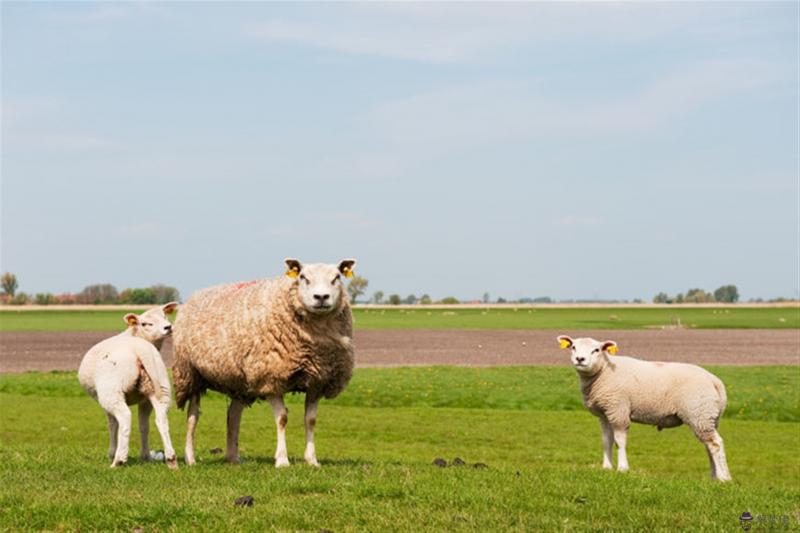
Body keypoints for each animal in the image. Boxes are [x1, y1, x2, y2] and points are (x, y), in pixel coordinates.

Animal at [77, 302, 178, 468]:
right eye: (145, 323)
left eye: (165, 316)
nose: (168, 327)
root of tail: (141, 349)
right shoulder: (144, 400)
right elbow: (143, 426)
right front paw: (145, 457)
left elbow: (112, 425)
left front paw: (111, 453)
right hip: (159, 388)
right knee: (161, 419)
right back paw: (169, 459)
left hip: (111, 392)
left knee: (124, 418)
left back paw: (118, 459)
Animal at [174, 258, 356, 466]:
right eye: (303, 277)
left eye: (337, 277)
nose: (321, 297)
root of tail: (194, 296)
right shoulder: (270, 378)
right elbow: (282, 419)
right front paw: (282, 460)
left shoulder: (318, 381)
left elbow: (310, 420)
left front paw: (312, 460)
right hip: (190, 375)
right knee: (192, 417)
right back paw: (190, 458)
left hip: (240, 381)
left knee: (233, 415)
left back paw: (233, 458)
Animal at [556, 336, 732, 482]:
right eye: (573, 347)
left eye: (596, 350)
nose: (580, 359)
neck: (603, 371)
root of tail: (715, 381)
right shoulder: (604, 413)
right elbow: (607, 440)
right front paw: (606, 468)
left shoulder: (618, 409)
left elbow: (619, 440)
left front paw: (622, 469)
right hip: (708, 416)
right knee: (709, 445)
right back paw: (714, 477)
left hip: (699, 413)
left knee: (715, 444)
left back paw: (724, 478)